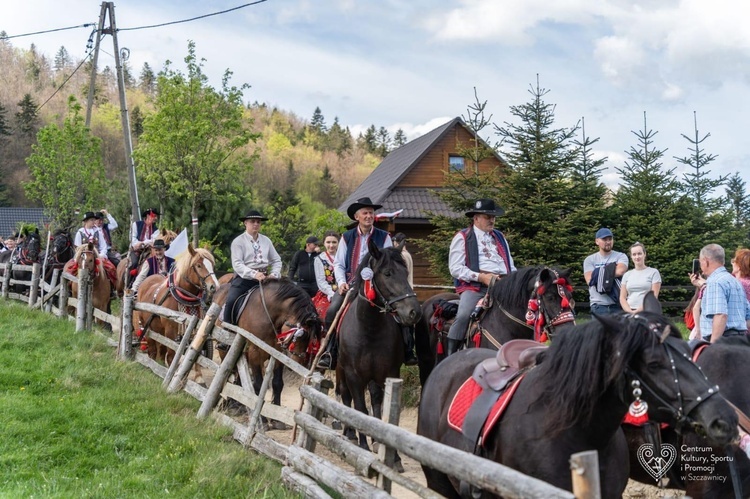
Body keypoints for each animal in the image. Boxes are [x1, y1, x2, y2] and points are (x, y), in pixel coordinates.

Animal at [336, 237, 424, 454]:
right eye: (388, 273)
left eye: (406, 273)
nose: (414, 312)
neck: (369, 329)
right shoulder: (353, 375)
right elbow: (360, 407)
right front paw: (363, 444)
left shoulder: (388, 372)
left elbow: (382, 408)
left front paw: (385, 447)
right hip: (340, 369)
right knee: (345, 395)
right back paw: (350, 433)